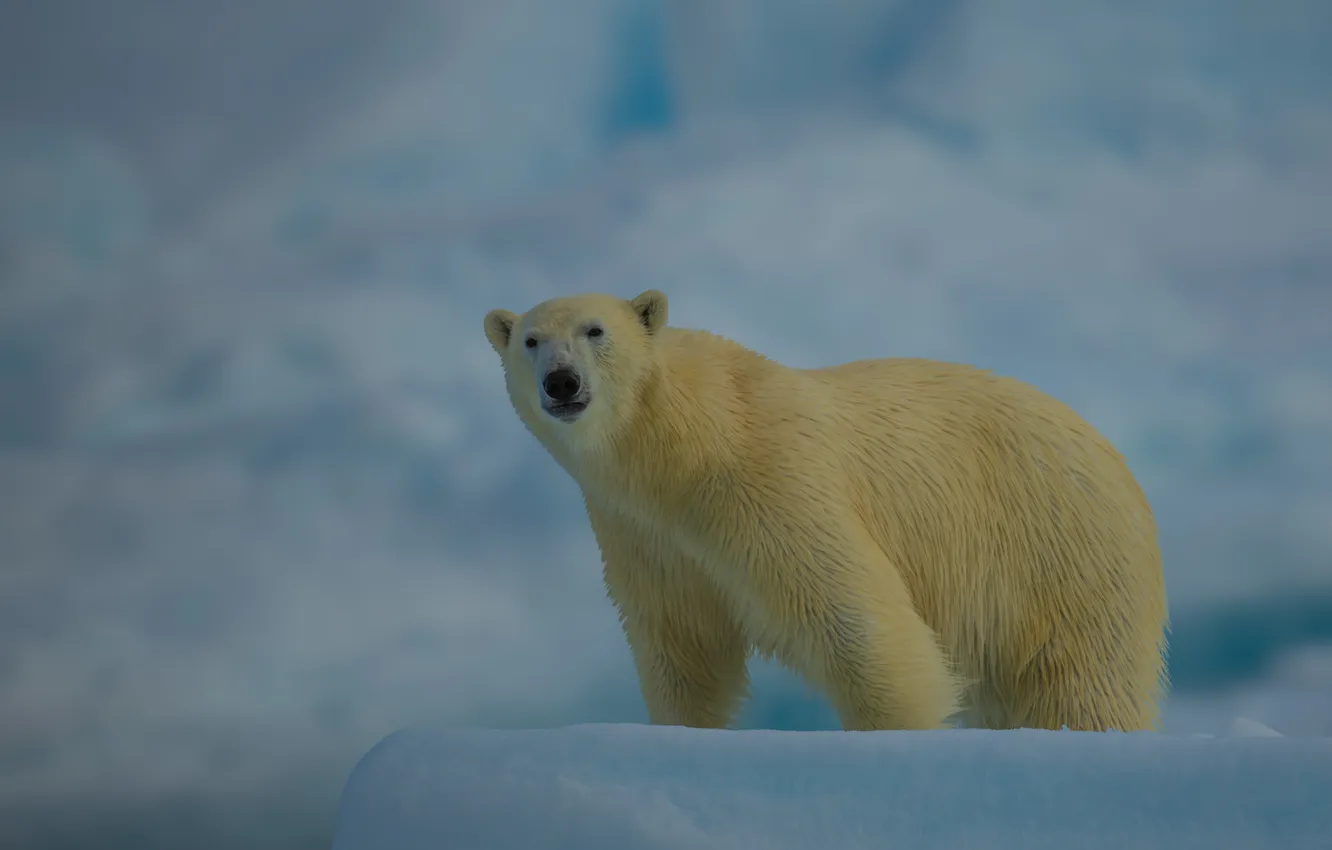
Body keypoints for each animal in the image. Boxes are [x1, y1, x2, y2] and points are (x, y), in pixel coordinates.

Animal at [483, 289, 1170, 732]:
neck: (679, 447)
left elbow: (854, 621)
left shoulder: (769, 483)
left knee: (1080, 686)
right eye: (531, 340)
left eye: (596, 331)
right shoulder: (643, 535)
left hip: (1059, 554)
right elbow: (681, 644)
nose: (562, 382)